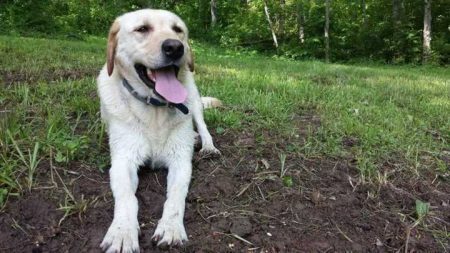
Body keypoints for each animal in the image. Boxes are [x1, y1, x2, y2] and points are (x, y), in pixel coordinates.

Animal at [97, 8, 221, 252]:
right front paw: (122, 232)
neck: (155, 110)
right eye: (142, 29)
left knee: (202, 126)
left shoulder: (181, 163)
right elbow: (128, 199)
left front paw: (171, 229)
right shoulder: (123, 162)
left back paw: (206, 144)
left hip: (193, 98)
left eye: (178, 29)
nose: (175, 47)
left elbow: (175, 197)